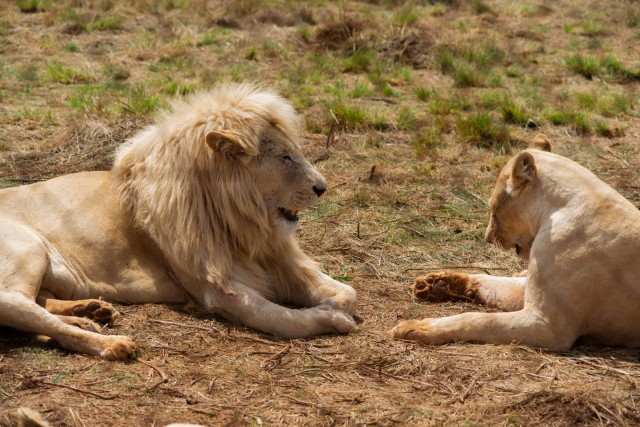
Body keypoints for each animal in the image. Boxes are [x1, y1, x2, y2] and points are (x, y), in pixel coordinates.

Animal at [0, 82, 356, 360]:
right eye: (284, 157)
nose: (323, 187)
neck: (242, 225)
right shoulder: (216, 289)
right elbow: (283, 319)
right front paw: (332, 318)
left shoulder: (276, 257)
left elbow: (345, 291)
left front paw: (337, 300)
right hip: (29, 248)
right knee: (17, 304)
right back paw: (110, 342)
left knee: (36, 306)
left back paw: (90, 313)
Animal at [392, 145, 640, 350]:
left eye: (493, 209)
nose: (487, 238)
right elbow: (494, 282)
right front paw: (437, 283)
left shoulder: (549, 325)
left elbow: (476, 319)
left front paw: (417, 327)